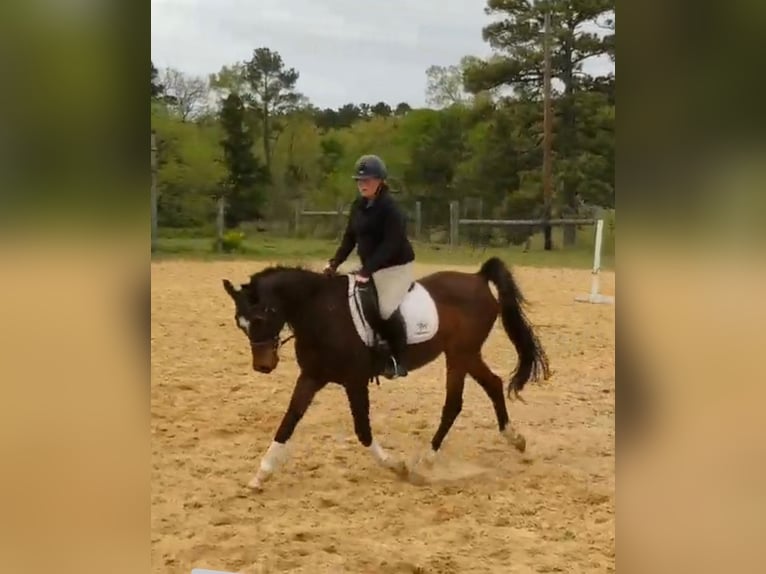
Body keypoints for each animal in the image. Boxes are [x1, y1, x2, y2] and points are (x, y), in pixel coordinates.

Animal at [222, 258, 552, 492]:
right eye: (240, 323)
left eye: (260, 318)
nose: (263, 366)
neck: (323, 312)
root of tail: (478, 278)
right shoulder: (312, 377)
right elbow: (288, 421)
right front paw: (260, 475)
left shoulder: (354, 382)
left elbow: (362, 430)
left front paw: (397, 466)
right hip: (465, 355)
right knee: (490, 386)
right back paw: (514, 439)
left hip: (461, 354)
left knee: (455, 403)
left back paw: (426, 461)